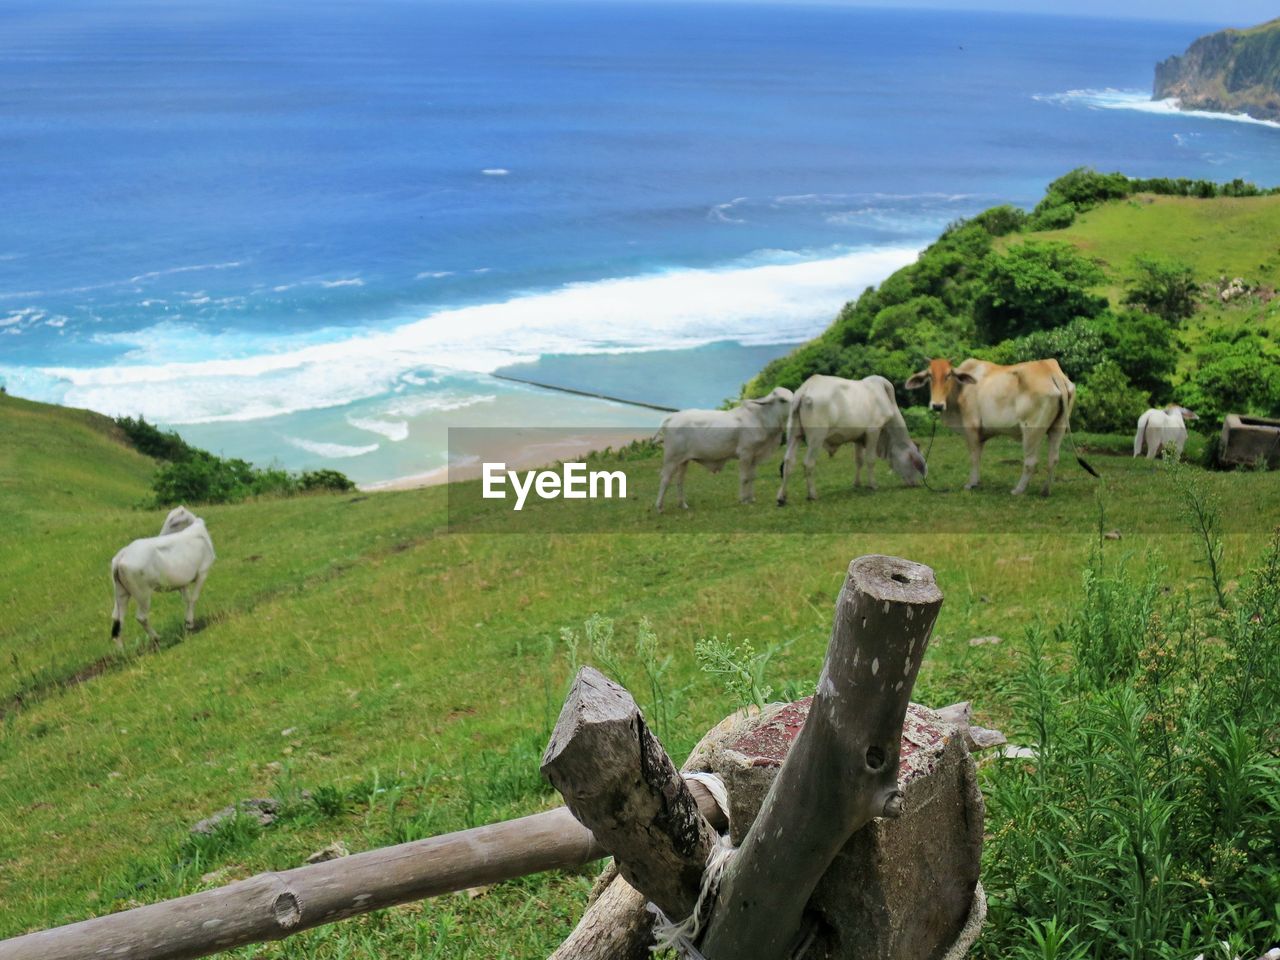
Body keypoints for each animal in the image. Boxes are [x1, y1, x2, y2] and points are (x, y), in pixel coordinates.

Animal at [113, 504, 218, 647]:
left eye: (174, 523)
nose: (160, 535)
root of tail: (122, 555)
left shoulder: (182, 582)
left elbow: (187, 599)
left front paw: (187, 623)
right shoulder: (203, 572)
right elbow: (194, 598)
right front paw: (190, 623)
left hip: (121, 592)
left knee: (117, 619)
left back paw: (122, 650)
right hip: (142, 593)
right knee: (141, 617)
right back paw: (157, 638)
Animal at [655, 389, 793, 514]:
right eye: (782, 400)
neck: (760, 418)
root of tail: (672, 416)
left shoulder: (754, 456)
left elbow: (752, 477)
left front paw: (751, 498)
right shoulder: (745, 453)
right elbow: (744, 478)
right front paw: (744, 500)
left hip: (683, 461)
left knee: (679, 480)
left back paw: (682, 504)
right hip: (671, 458)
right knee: (665, 479)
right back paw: (659, 507)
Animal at [773, 371, 926, 504]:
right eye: (915, 465)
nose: (915, 484)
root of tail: (805, 389)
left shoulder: (858, 437)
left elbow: (859, 461)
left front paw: (857, 483)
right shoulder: (873, 431)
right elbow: (870, 460)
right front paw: (873, 485)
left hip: (794, 434)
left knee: (788, 462)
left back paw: (781, 497)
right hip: (816, 437)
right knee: (808, 463)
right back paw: (812, 494)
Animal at [901, 358, 1080, 496]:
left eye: (948, 375)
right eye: (930, 376)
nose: (937, 405)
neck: (960, 389)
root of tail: (1050, 370)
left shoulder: (971, 428)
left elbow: (974, 457)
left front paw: (971, 484)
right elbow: (979, 456)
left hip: (1031, 430)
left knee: (1031, 461)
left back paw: (1018, 490)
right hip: (1058, 428)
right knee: (1053, 458)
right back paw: (1045, 491)